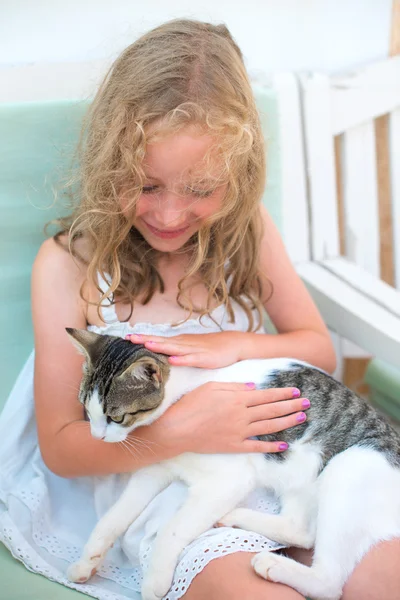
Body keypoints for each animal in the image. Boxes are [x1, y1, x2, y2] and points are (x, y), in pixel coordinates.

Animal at [65, 328, 400, 600]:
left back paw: (271, 562)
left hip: (347, 469)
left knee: (329, 582)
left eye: (116, 417)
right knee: (301, 530)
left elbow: (171, 529)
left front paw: (154, 582)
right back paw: (234, 517)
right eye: (87, 410)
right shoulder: (155, 470)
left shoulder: (227, 481)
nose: (96, 437)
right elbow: (113, 518)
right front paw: (87, 561)